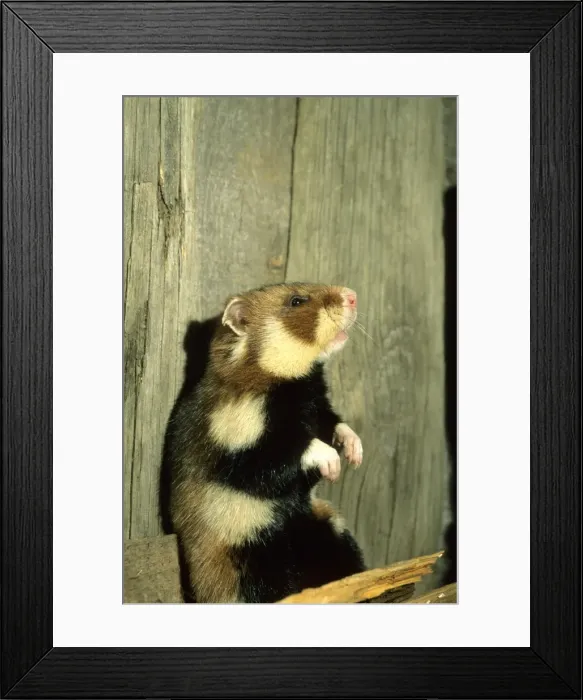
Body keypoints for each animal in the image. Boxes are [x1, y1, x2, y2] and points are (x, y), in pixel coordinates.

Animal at [166, 282, 366, 603]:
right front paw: (333, 464)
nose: (352, 295)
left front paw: (354, 452)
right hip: (255, 560)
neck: (300, 390)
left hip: (331, 530)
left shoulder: (319, 407)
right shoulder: (242, 447)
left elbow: (336, 424)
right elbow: (292, 449)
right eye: (296, 301)